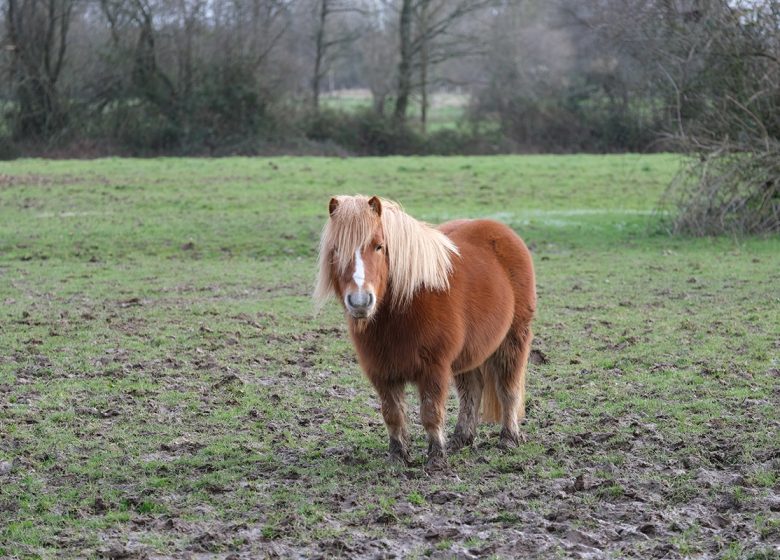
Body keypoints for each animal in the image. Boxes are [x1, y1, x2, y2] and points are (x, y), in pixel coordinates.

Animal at [314, 197, 532, 468]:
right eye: (335, 249)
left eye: (379, 246)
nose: (360, 301)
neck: (406, 303)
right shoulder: (382, 371)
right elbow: (393, 414)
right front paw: (398, 456)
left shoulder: (434, 368)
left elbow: (430, 412)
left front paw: (436, 457)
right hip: (469, 353)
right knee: (472, 390)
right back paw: (461, 439)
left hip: (513, 338)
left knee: (508, 388)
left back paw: (508, 438)